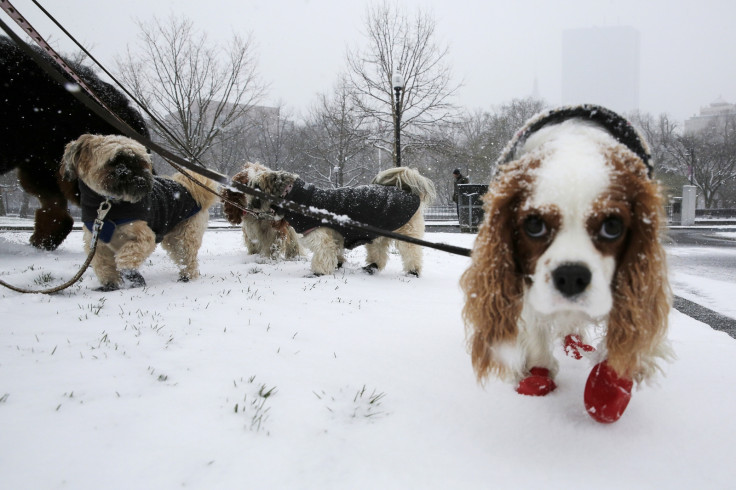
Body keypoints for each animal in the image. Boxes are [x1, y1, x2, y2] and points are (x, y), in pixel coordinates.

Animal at [460, 105, 672, 424]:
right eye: (534, 224)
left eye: (612, 226)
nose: (571, 276)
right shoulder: (529, 283)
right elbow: (535, 328)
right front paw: (538, 372)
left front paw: (610, 386)